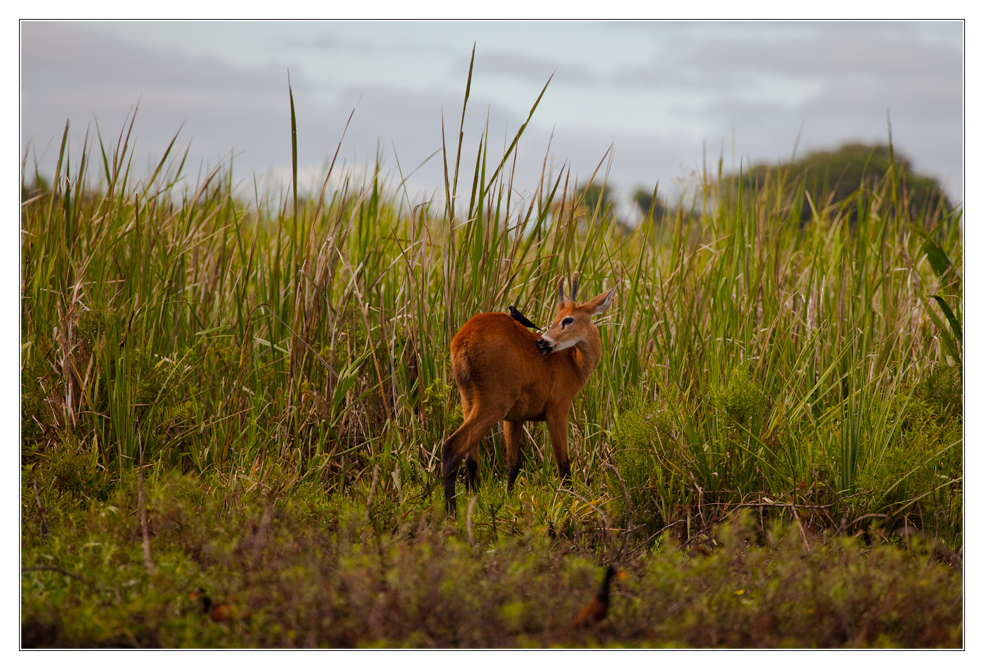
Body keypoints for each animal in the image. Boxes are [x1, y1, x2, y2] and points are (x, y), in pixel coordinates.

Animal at [440, 272, 616, 516]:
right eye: (557, 318)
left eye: (567, 319)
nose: (542, 341)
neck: (572, 364)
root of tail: (462, 341)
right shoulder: (557, 408)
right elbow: (564, 465)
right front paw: (570, 503)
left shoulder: (515, 418)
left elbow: (513, 464)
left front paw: (509, 501)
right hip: (495, 400)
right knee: (451, 447)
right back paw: (452, 513)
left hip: (467, 396)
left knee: (471, 458)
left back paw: (475, 501)